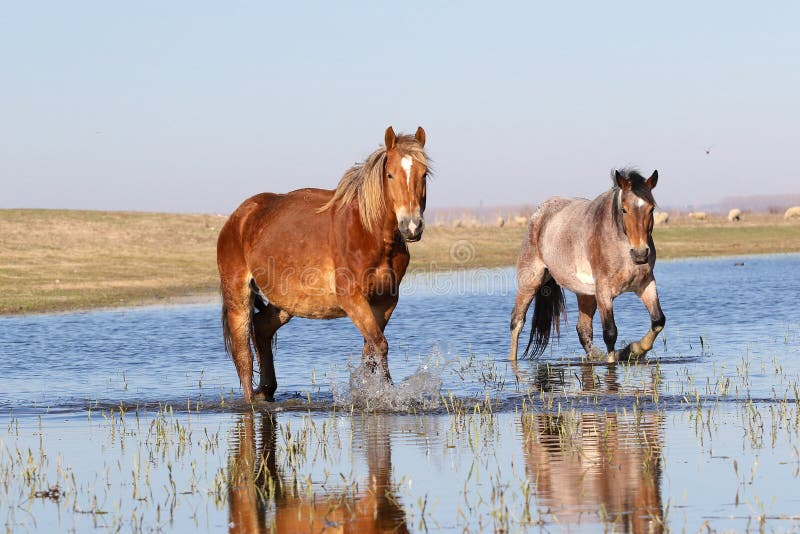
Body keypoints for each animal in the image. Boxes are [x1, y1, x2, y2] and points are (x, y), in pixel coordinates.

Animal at [219, 126, 428, 402]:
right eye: (390, 174)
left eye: (424, 174)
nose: (412, 226)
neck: (368, 232)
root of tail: (238, 217)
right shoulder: (352, 298)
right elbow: (379, 345)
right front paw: (386, 394)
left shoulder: (385, 301)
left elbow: (370, 349)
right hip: (238, 296)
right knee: (243, 354)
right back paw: (252, 400)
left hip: (286, 302)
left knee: (262, 329)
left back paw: (267, 390)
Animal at [510, 171, 664, 364]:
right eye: (624, 209)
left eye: (651, 209)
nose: (640, 253)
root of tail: (539, 213)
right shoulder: (604, 291)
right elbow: (610, 333)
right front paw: (618, 358)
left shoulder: (646, 284)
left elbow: (658, 321)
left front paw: (633, 350)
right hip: (530, 282)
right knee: (517, 322)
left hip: (585, 294)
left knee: (583, 330)